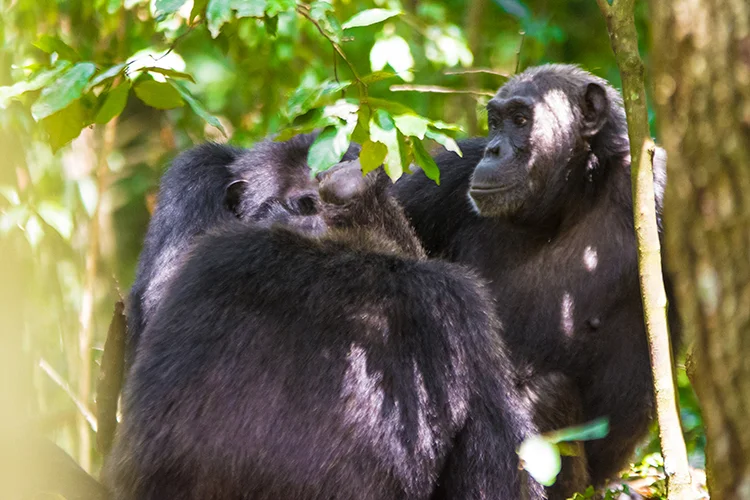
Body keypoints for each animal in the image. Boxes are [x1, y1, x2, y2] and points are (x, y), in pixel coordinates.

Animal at [394, 64, 680, 490]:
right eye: (496, 121)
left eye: (521, 120)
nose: (495, 150)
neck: (569, 198)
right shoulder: (451, 172)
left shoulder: (658, 185)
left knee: (547, 394)